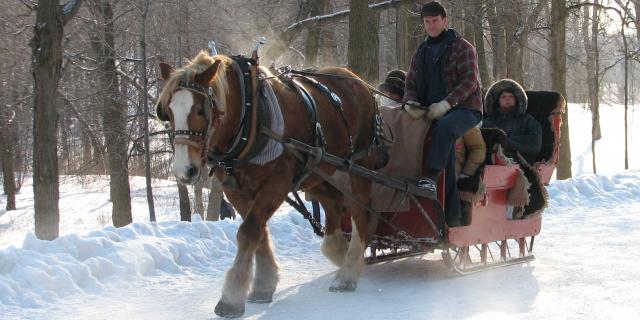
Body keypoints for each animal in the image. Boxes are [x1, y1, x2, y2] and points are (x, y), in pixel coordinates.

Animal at [156, 50, 380, 318]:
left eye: (201, 110)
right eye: (168, 112)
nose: (184, 170)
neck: (251, 117)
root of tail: (358, 81)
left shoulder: (276, 184)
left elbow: (249, 231)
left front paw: (231, 297)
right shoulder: (235, 191)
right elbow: (258, 232)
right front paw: (263, 285)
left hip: (359, 167)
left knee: (361, 214)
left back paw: (347, 272)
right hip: (317, 173)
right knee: (334, 203)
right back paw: (339, 252)